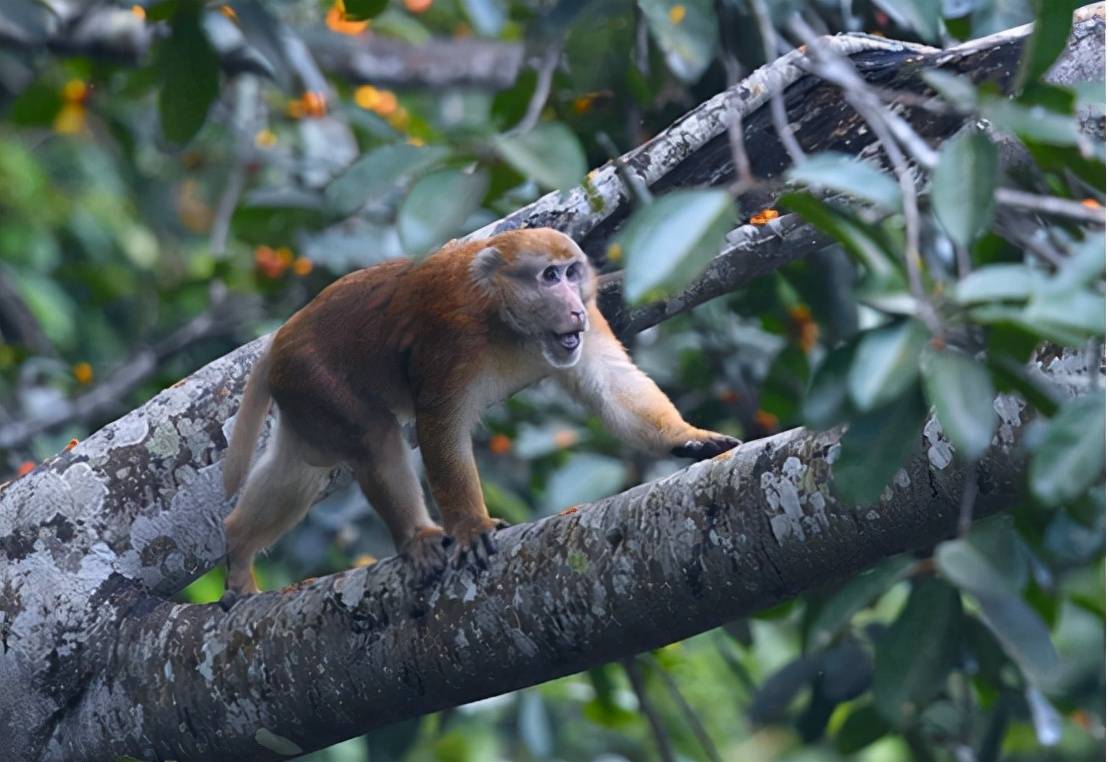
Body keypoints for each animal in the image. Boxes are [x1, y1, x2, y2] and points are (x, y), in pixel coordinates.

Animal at [220, 225, 740, 593]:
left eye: (572, 272)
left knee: (300, 468)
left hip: (302, 398)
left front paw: (687, 436)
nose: (573, 306)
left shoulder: (588, 324)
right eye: (549, 276)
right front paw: (470, 526)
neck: (507, 320)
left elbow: (611, 385)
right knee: (373, 437)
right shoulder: (454, 335)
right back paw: (416, 537)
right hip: (313, 376)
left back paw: (238, 543)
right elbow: (439, 425)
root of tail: (282, 337)